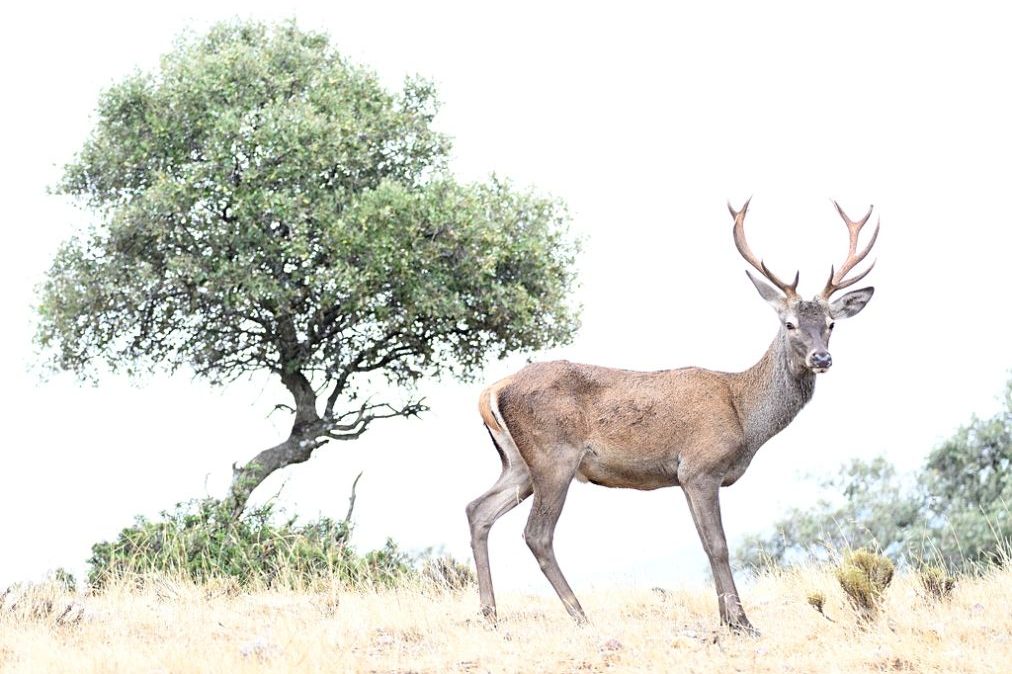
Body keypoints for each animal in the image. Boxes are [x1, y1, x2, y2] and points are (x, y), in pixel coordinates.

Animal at [465, 199, 879, 635]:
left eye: (831, 324)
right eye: (790, 324)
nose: (822, 358)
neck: (745, 415)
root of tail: (492, 391)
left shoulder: (685, 478)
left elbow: (706, 544)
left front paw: (727, 618)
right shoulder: (700, 467)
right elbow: (718, 545)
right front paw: (741, 622)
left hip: (518, 464)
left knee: (478, 510)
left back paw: (490, 614)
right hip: (553, 457)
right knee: (536, 534)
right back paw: (580, 615)